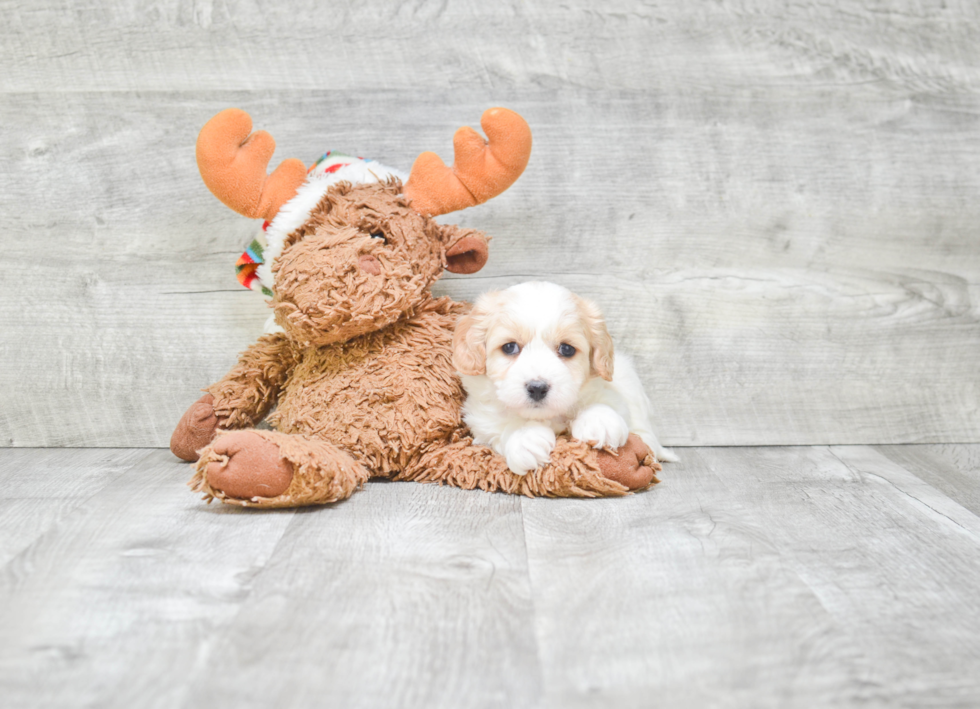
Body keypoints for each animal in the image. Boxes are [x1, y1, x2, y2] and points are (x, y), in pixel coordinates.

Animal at [450, 282, 672, 476]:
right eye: (509, 347)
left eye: (566, 349)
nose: (537, 388)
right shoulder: (481, 419)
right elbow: (501, 424)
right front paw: (525, 437)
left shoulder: (613, 393)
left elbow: (604, 401)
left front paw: (600, 421)